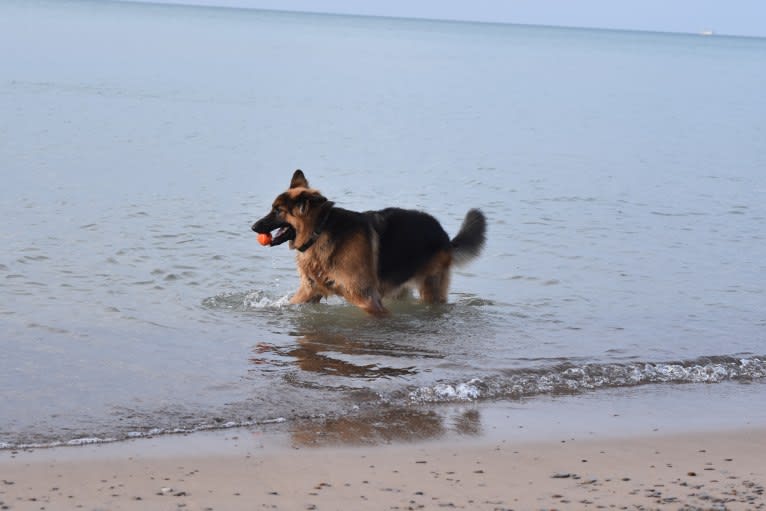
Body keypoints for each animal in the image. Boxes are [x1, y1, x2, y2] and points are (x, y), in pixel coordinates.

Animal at [255, 171, 488, 316]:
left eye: (278, 211)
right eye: (272, 208)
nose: (253, 227)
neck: (319, 231)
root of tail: (444, 236)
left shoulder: (367, 299)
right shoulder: (309, 292)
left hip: (430, 289)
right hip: (399, 289)